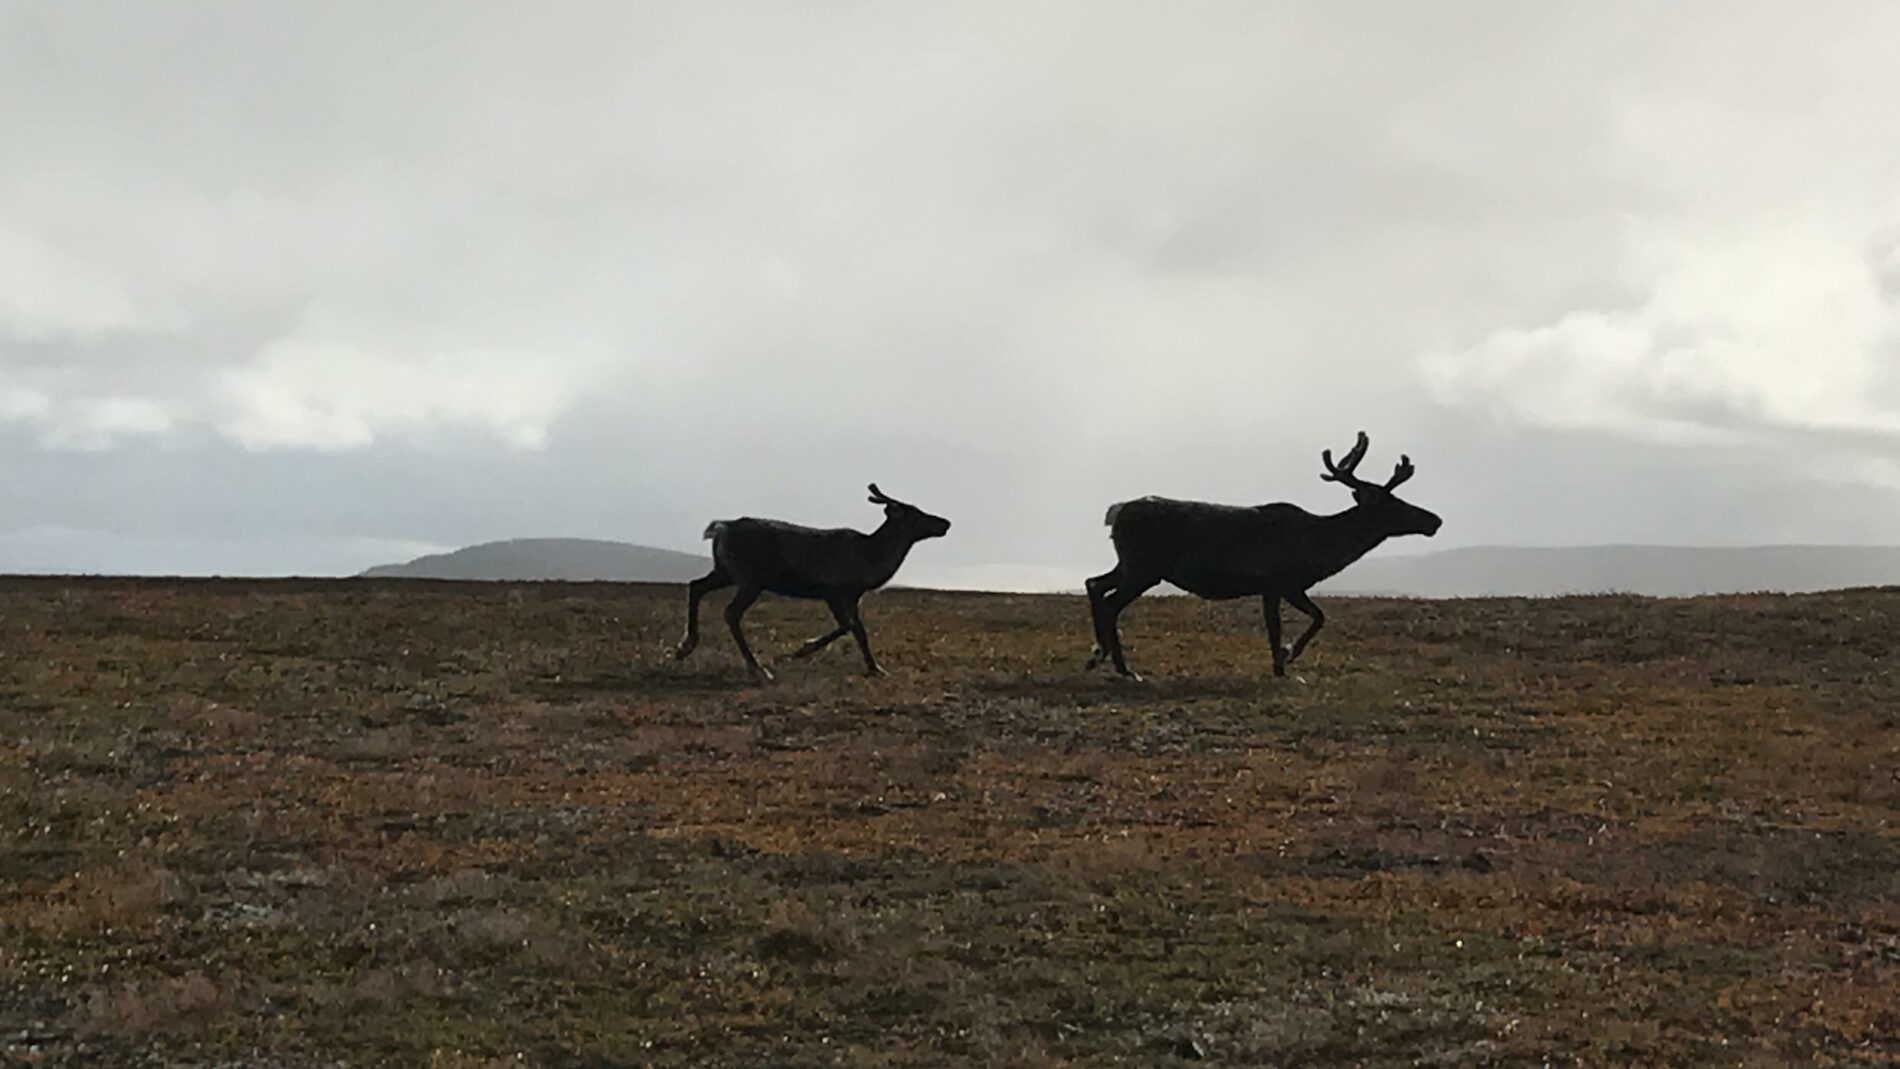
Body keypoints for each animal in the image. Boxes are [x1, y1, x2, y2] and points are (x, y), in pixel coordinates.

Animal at [673, 484, 951, 681]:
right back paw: (756, 668)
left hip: (726, 571)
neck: (872, 557)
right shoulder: (834, 590)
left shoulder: (854, 596)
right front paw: (803, 649)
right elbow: (847, 626)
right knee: (730, 612)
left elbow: (860, 632)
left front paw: (876, 668)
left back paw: (685, 646)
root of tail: (721, 529)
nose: (945, 522)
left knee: (696, 585)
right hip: (751, 578)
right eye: (915, 513)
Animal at [1084, 431, 1440, 680]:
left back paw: (1097, 654)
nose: (1435, 520)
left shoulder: (1276, 587)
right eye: (1393, 504)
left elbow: (1297, 621)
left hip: (1129, 563)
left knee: (1094, 583)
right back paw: (1123, 668)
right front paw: (1287, 659)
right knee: (1110, 602)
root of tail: (1115, 513)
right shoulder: (1281, 581)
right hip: (1144, 567)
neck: (1321, 546)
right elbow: (1304, 620)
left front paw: (1281, 662)